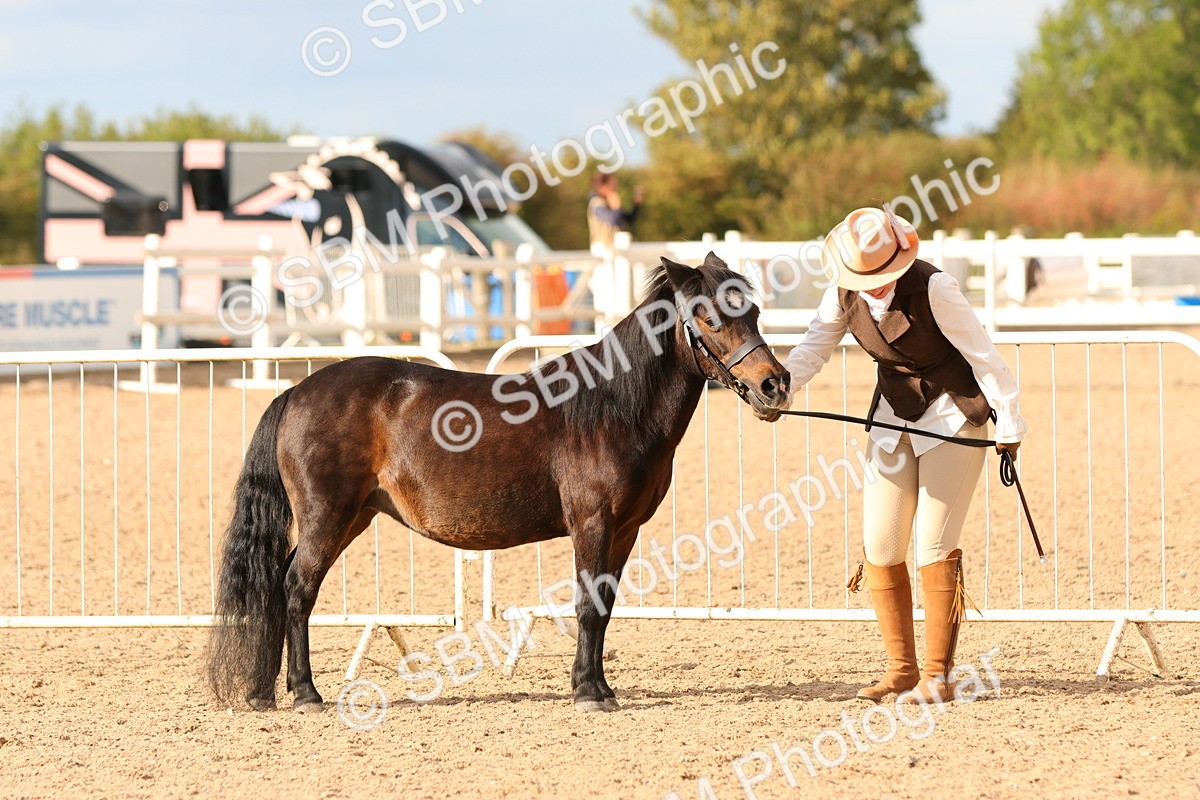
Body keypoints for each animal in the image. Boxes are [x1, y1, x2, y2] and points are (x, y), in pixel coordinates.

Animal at [206, 252, 791, 713]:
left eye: (754, 312)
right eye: (709, 318)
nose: (774, 384)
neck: (611, 409)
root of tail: (295, 392)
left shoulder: (626, 530)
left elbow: (603, 608)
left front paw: (599, 687)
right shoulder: (593, 524)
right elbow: (586, 605)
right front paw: (588, 693)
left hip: (352, 517)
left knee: (279, 585)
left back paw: (264, 691)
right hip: (327, 517)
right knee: (297, 588)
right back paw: (306, 693)